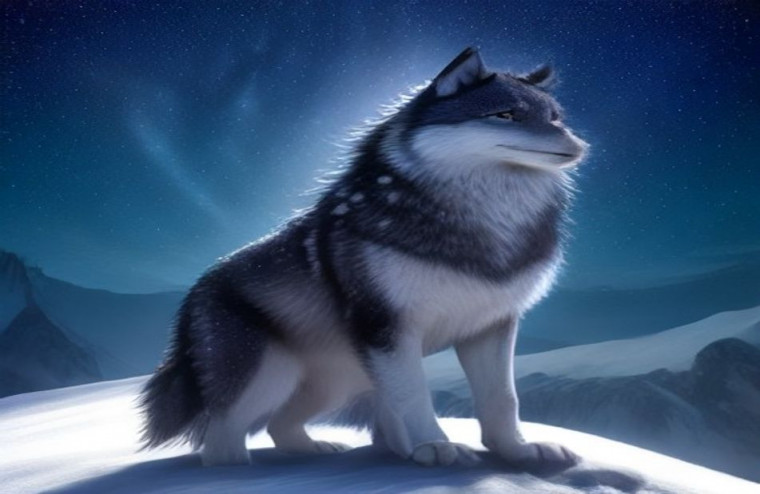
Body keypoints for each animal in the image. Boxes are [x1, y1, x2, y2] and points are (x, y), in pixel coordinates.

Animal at [140, 47, 588, 468]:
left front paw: (519, 452)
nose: (579, 144)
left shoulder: (491, 327)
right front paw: (434, 447)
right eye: (506, 114)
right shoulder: (389, 328)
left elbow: (503, 400)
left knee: (278, 425)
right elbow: (414, 395)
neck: (481, 222)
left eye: (555, 118)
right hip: (271, 377)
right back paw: (237, 471)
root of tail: (191, 298)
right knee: (221, 439)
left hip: (337, 381)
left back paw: (315, 449)